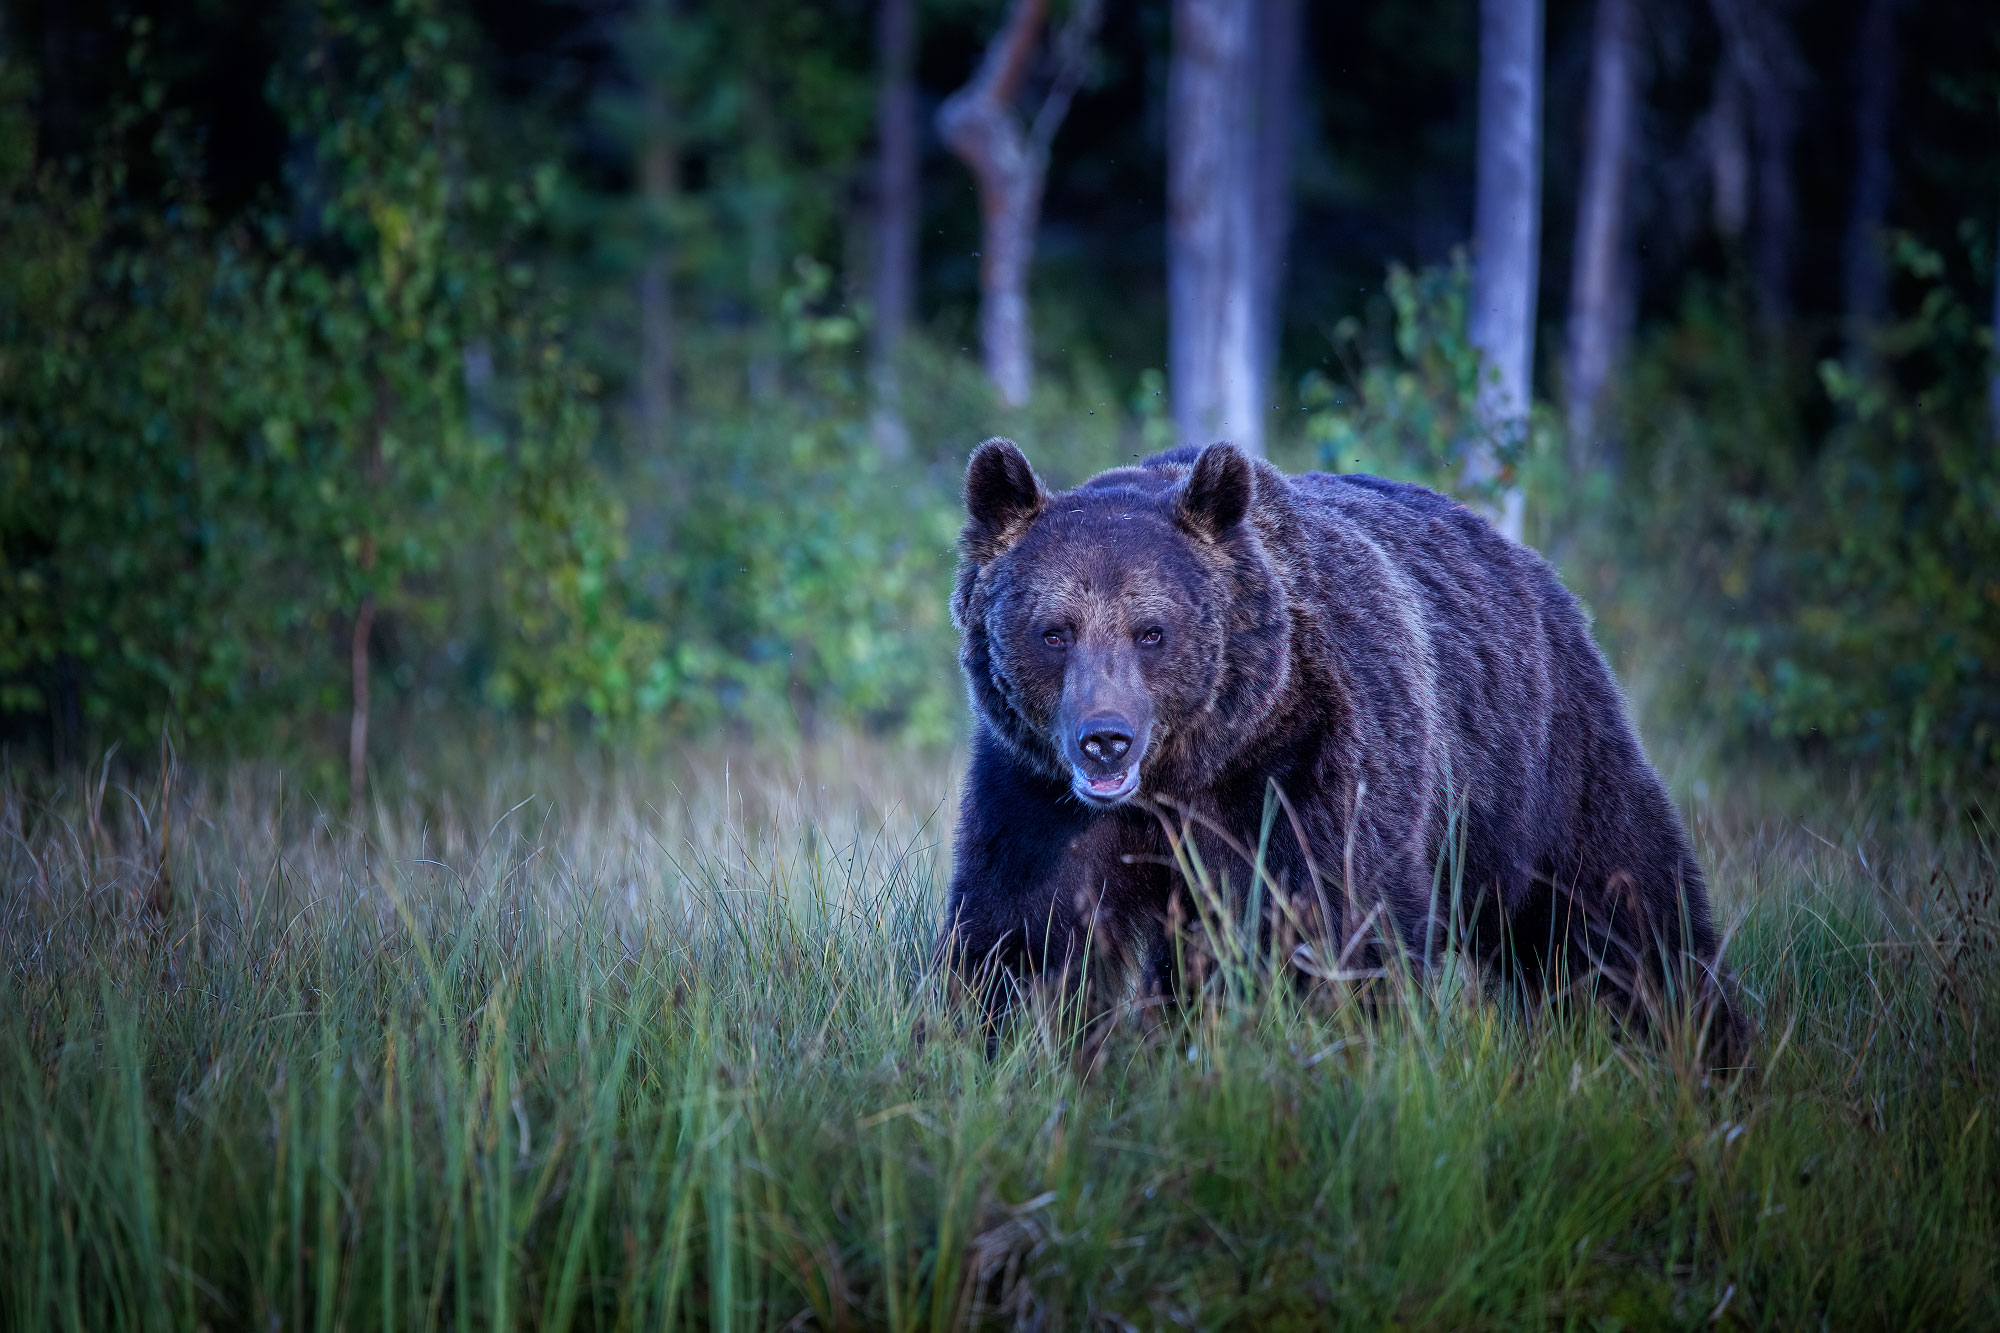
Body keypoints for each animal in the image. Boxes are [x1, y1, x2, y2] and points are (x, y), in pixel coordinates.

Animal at [936, 440, 1736, 1056]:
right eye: (1054, 631)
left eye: (1151, 631)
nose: (1105, 739)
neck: (1187, 772)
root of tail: (1528, 563)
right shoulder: (1040, 800)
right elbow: (1020, 936)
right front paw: (997, 1044)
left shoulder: (1309, 768)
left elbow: (1341, 926)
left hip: (1542, 759)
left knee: (1619, 908)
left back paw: (1696, 1035)